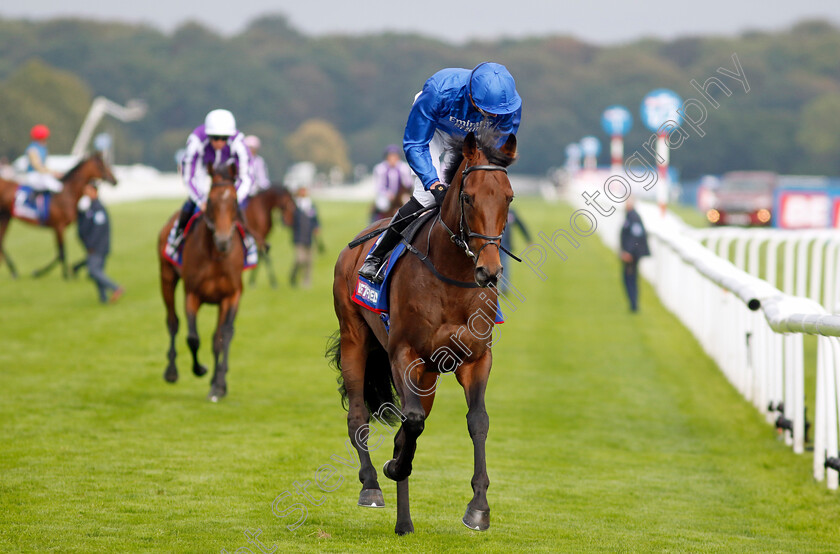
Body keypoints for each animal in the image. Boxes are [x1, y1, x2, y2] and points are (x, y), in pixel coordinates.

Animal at [158, 162, 244, 398]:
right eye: (211, 201)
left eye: (234, 200)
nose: (223, 240)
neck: (215, 255)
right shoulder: (192, 293)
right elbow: (193, 338)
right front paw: (200, 369)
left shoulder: (231, 295)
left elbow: (223, 336)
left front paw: (219, 384)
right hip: (166, 277)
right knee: (172, 321)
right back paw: (171, 371)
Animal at [330, 132, 516, 532]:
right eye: (468, 197)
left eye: (509, 197)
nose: (490, 270)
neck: (452, 278)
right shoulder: (405, 353)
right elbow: (411, 421)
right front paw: (394, 466)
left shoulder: (476, 358)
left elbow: (477, 421)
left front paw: (478, 507)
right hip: (355, 338)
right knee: (358, 415)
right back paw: (372, 484)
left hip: (428, 375)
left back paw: (404, 519)